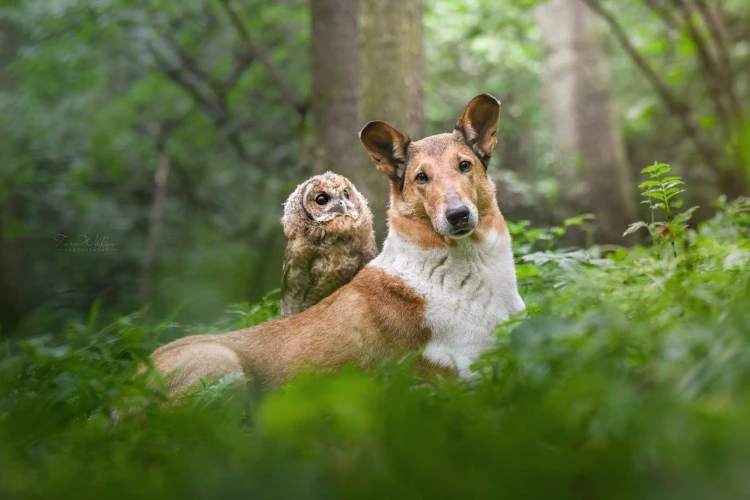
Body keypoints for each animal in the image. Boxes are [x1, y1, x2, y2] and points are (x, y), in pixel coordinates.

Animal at [151, 94, 528, 394]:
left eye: (464, 165)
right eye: (421, 177)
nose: (458, 215)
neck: (466, 265)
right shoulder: (467, 376)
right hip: (224, 367)